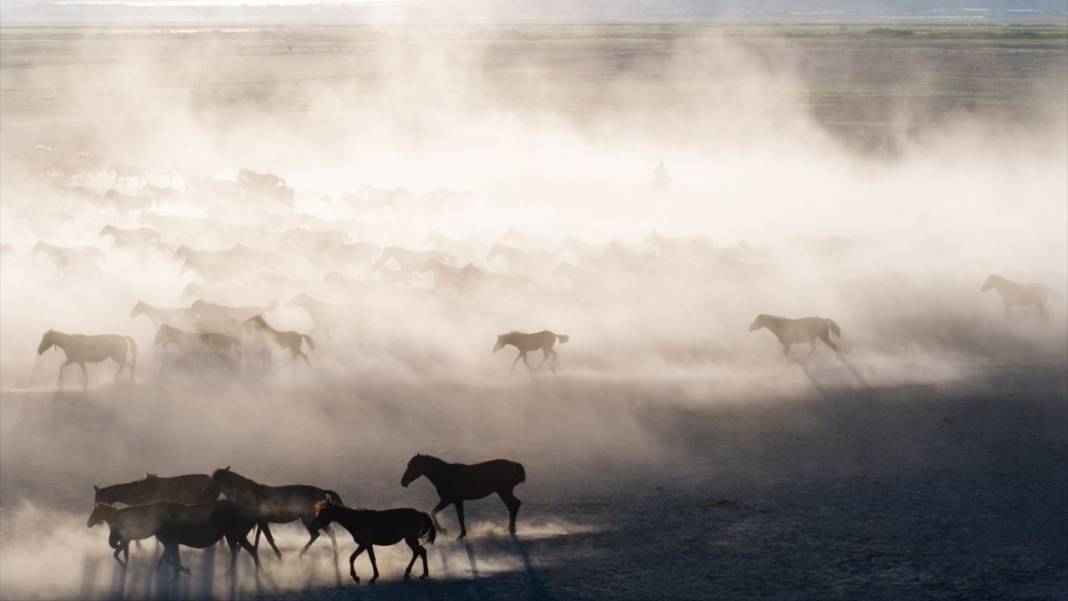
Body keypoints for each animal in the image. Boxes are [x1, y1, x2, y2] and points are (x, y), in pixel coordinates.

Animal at [208, 467, 341, 563]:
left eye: (216, 479)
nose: (207, 488)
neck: (249, 494)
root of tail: (322, 491)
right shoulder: (259, 522)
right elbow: (258, 537)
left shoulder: (262, 521)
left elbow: (269, 539)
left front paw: (279, 556)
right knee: (328, 533)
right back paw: (334, 556)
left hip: (309, 518)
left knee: (316, 534)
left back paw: (301, 554)